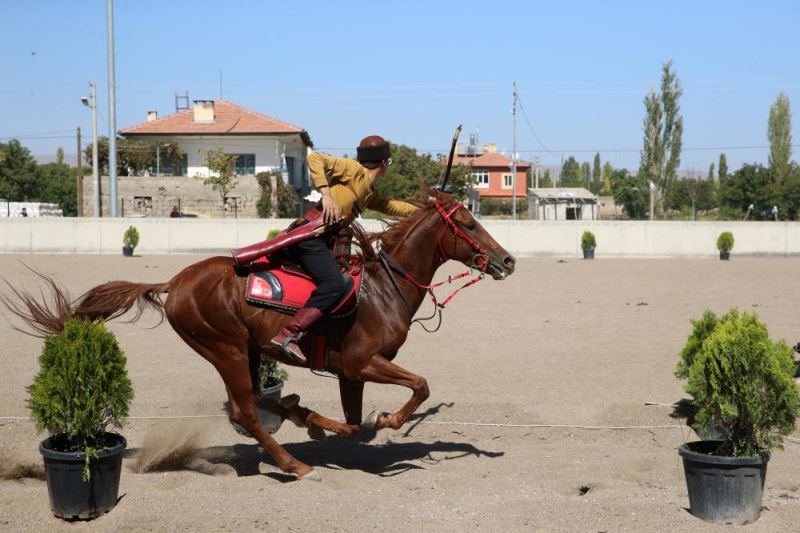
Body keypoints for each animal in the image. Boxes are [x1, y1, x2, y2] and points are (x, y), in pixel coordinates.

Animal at [4, 189, 512, 480]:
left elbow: (353, 421)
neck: (382, 288)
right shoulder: (363, 362)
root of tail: (175, 283)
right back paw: (294, 464)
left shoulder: (350, 374)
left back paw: (299, 417)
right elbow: (419, 386)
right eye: (469, 224)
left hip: (246, 349)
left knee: (246, 403)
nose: (507, 260)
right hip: (224, 347)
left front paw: (330, 422)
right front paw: (386, 419)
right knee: (244, 410)